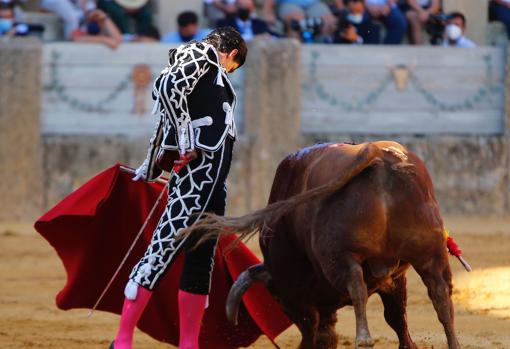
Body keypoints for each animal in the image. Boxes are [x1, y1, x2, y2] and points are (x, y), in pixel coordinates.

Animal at [184, 141, 466, 348]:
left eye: (278, 300)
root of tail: (375, 152)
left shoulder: (300, 292)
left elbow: (314, 322)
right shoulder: (395, 277)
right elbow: (396, 315)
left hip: (339, 256)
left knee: (356, 284)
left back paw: (363, 339)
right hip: (430, 252)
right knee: (441, 295)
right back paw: (452, 342)